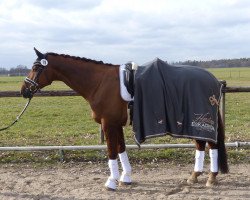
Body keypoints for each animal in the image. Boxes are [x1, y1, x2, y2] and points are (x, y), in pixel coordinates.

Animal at [21, 48, 229, 191]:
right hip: (193, 125)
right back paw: (194, 176)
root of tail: (212, 80)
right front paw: (125, 178)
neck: (99, 83)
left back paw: (211, 178)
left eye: (36, 67)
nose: (24, 90)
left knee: (212, 146)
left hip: (202, 123)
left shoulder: (108, 124)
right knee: (201, 145)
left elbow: (112, 152)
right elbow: (121, 149)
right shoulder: (115, 125)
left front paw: (111, 182)